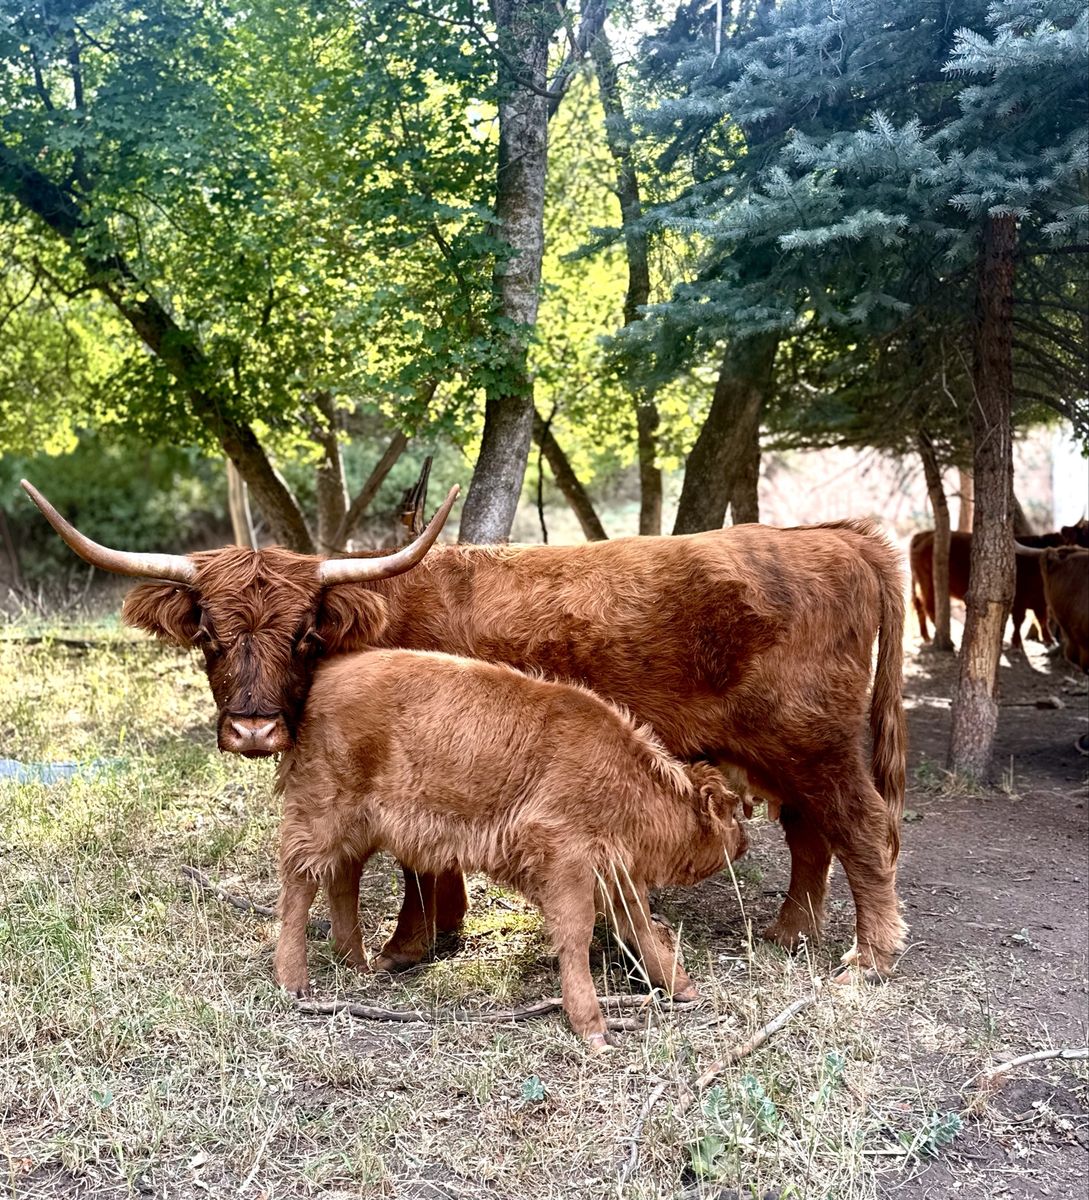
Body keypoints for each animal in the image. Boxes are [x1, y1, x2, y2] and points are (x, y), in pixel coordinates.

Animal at [21, 479, 908, 977]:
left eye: (302, 634)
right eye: (208, 633)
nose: (252, 731)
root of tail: (834, 536)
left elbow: (417, 861)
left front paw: (407, 947)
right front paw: (437, 936)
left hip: (817, 742)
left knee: (861, 829)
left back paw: (866, 957)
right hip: (781, 752)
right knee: (809, 834)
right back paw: (789, 934)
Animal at [274, 648, 749, 1049]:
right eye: (732, 812)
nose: (743, 841)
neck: (627, 778)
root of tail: (325, 676)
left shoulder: (616, 871)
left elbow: (640, 926)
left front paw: (680, 986)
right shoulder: (566, 860)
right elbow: (576, 933)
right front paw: (592, 1027)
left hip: (357, 827)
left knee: (343, 877)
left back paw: (355, 961)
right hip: (321, 813)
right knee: (300, 885)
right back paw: (293, 980)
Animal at [910, 529, 1060, 649]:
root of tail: (924, 534)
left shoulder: (1041, 602)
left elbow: (1042, 620)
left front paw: (1049, 640)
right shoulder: (1019, 601)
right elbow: (1019, 621)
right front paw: (1017, 643)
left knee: (920, 608)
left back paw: (926, 636)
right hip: (928, 584)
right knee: (930, 609)